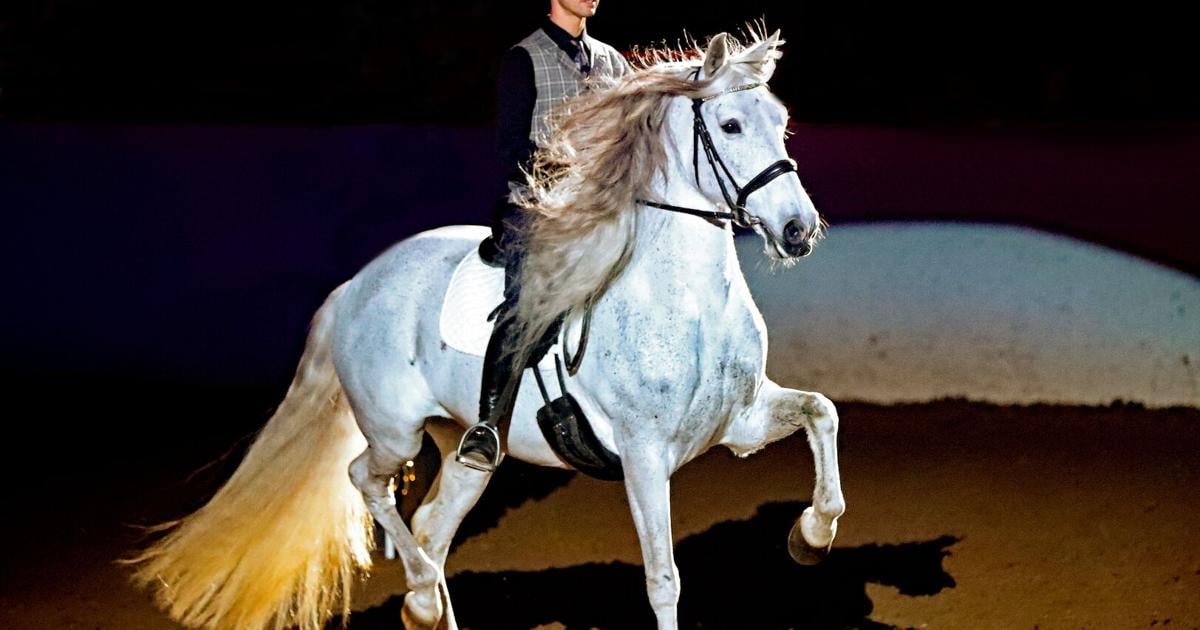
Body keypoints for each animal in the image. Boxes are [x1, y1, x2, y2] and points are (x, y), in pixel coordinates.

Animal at [129, 29, 846, 630]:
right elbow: (663, 578)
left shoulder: (740, 423)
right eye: (729, 123)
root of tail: (356, 285)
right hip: (393, 429)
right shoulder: (645, 455)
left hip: (467, 448)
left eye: (781, 122)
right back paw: (422, 596)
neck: (688, 307)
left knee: (430, 520)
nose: (798, 230)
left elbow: (822, 412)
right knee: (368, 481)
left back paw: (429, 608)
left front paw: (809, 537)